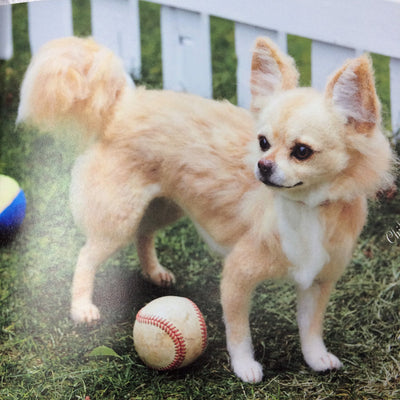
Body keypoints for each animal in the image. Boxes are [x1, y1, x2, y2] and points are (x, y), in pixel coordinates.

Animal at [18, 36, 394, 382]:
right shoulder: (237, 278)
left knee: (144, 233)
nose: (262, 166)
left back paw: (154, 272)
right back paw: (82, 307)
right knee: (87, 255)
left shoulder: (317, 280)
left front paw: (316, 358)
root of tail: (124, 105)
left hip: (164, 206)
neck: (302, 207)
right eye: (263, 143)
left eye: (302, 151)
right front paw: (244, 367)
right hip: (120, 217)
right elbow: (239, 332)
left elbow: (311, 327)